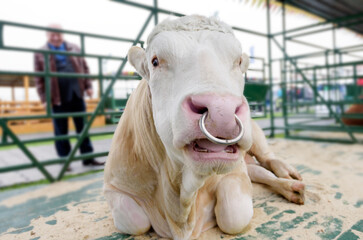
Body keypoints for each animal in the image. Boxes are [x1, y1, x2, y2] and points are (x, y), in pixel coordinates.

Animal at [104, 15, 306, 240]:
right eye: (155, 61)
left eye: (238, 62)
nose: (221, 110)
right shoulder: (114, 186)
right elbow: (135, 222)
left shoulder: (235, 172)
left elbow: (234, 215)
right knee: (259, 172)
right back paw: (292, 189)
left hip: (255, 134)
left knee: (268, 159)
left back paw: (289, 175)